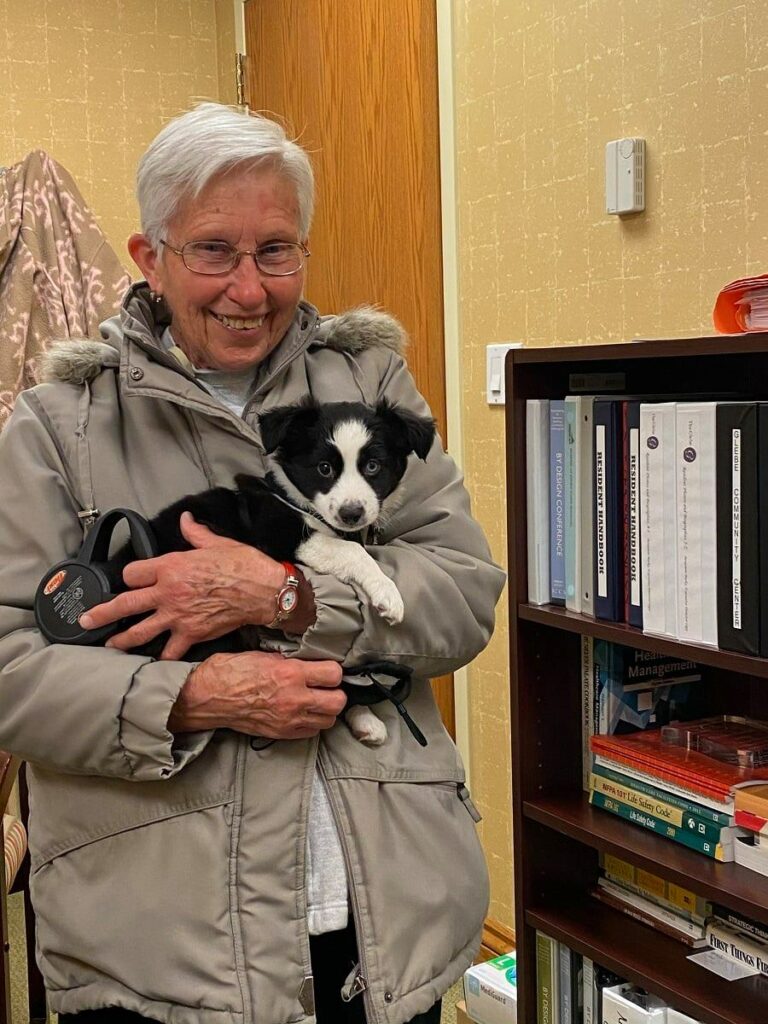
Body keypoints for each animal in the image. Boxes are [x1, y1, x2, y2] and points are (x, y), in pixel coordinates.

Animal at [114, 397, 438, 745]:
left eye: (373, 467)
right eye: (324, 468)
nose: (351, 514)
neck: (301, 505)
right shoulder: (282, 535)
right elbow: (352, 550)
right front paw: (388, 594)